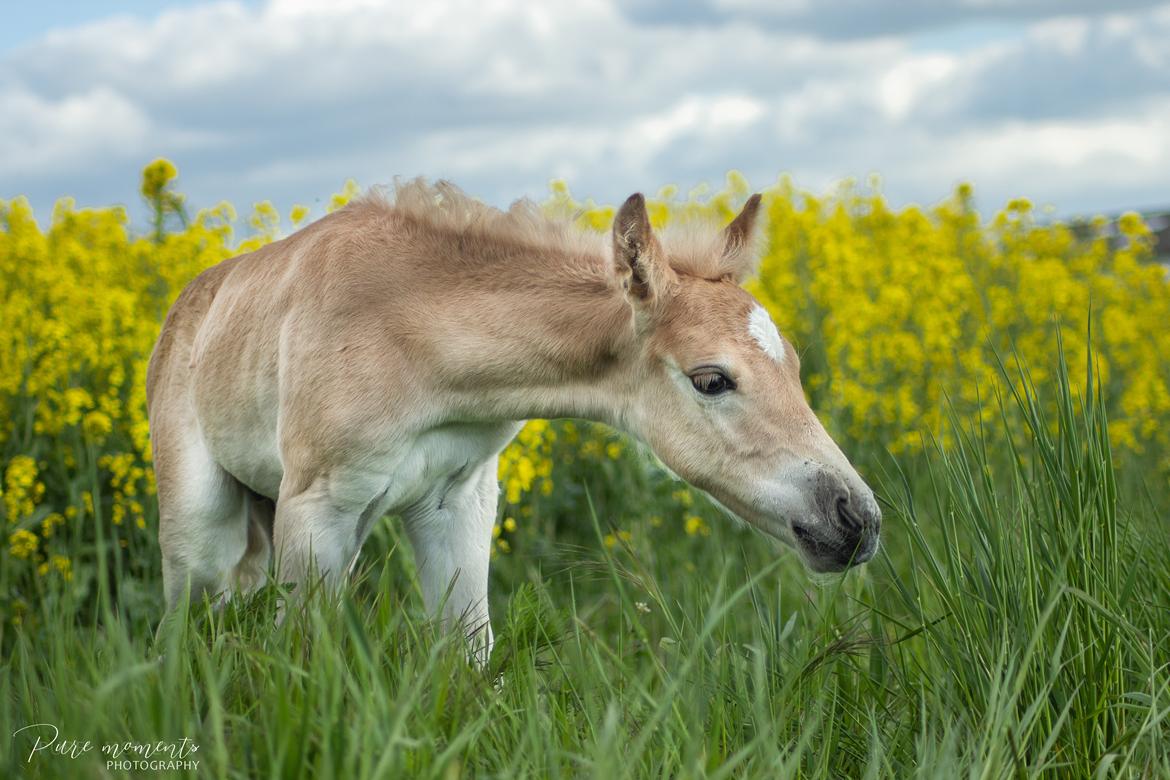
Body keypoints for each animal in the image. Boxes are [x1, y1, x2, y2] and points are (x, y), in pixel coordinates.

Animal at [146, 180, 879, 654]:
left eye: (795, 367)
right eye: (711, 379)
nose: (855, 519)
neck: (410, 339)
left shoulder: (458, 499)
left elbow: (469, 652)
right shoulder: (317, 508)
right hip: (201, 527)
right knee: (182, 632)